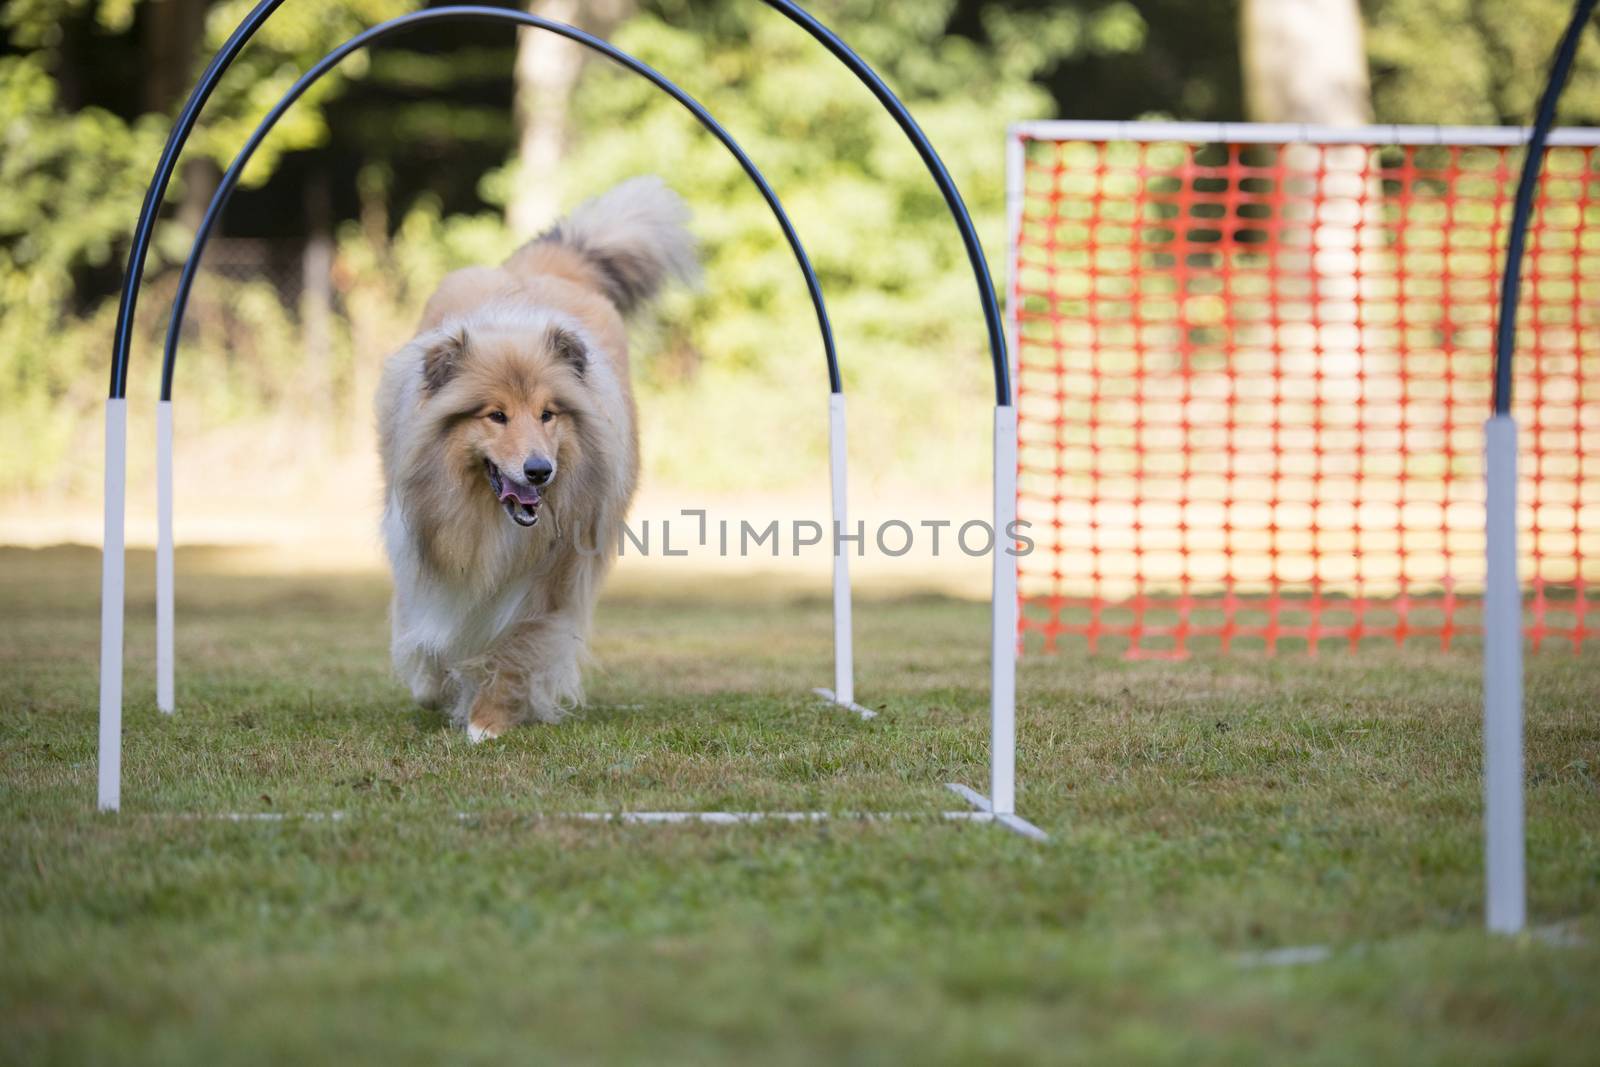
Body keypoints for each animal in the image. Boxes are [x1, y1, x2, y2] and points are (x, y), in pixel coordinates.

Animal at [380, 175, 700, 742]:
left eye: (548, 414)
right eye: (496, 416)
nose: (539, 471)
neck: (489, 521)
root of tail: (547, 268)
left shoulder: (552, 576)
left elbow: (518, 649)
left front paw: (487, 720)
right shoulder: (422, 555)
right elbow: (428, 631)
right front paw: (435, 687)